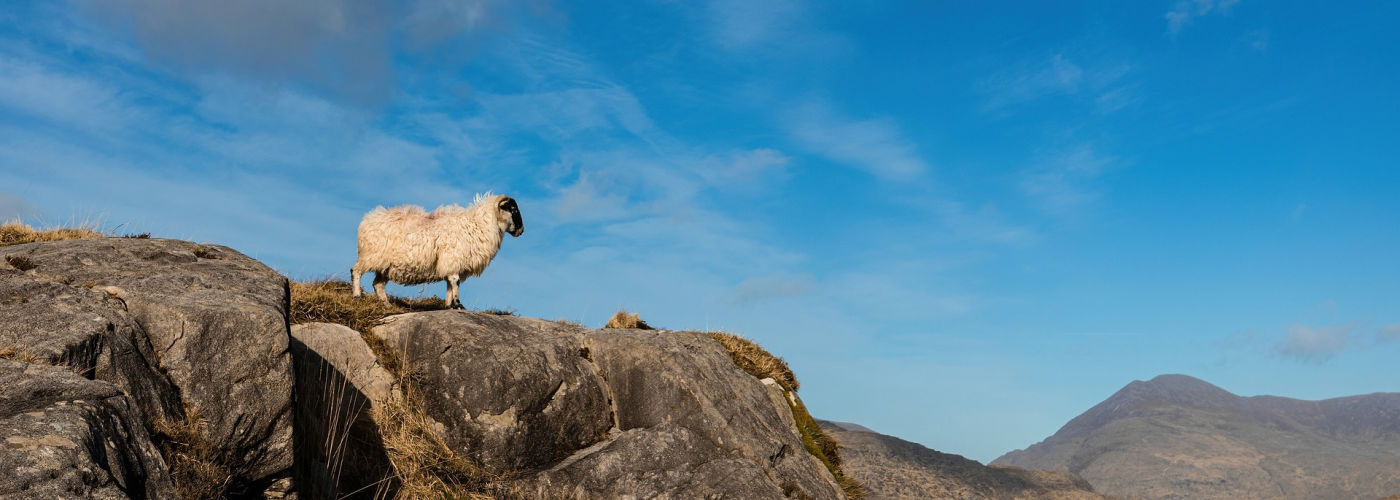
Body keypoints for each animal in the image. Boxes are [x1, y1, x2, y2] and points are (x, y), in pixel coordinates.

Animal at [350, 191, 526, 305]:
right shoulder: (453, 260)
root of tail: (368, 219)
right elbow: (455, 282)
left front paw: (449, 306)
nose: (521, 231)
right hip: (371, 256)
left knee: (378, 285)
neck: (479, 225)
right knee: (356, 271)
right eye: (513, 209)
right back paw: (357, 295)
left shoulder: (451, 265)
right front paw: (458, 304)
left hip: (385, 267)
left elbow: (449, 285)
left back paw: (386, 304)